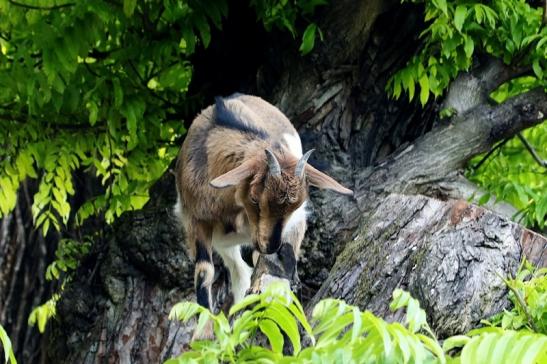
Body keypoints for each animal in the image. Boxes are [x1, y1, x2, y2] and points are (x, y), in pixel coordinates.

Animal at [176, 94, 356, 316]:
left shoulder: (290, 222)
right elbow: (204, 272)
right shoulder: (195, 220)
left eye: (295, 205)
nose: (271, 246)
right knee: (239, 271)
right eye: (254, 199)